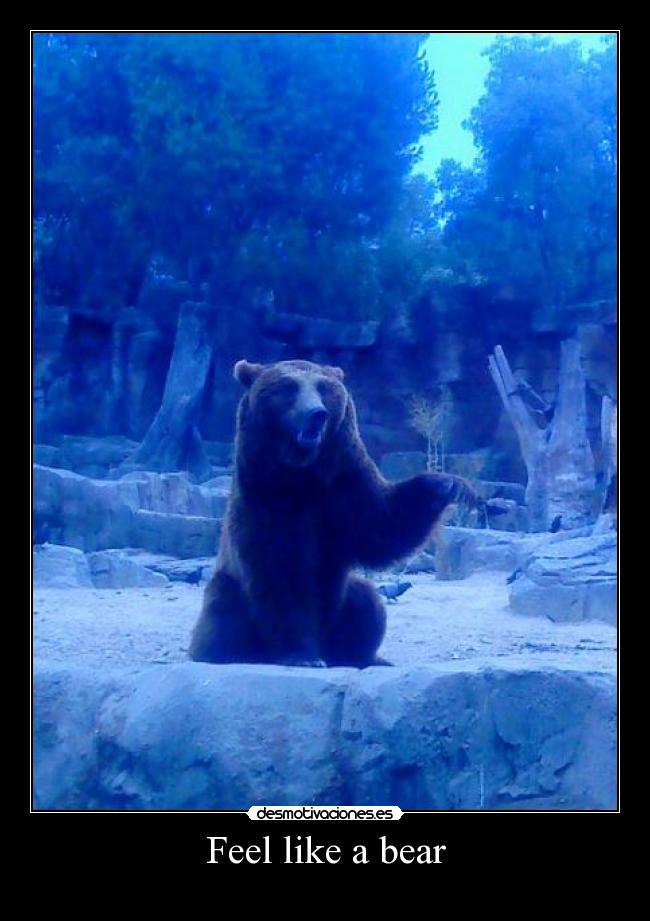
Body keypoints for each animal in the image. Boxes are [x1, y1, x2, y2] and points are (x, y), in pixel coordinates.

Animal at [189, 358, 479, 668]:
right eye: (288, 386)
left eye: (323, 387)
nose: (317, 414)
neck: (306, 475)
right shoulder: (268, 496)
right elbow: (282, 568)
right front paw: (302, 655)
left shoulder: (345, 482)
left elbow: (382, 526)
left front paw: (450, 485)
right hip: (229, 592)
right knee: (224, 618)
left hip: (344, 600)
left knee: (366, 603)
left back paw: (364, 656)